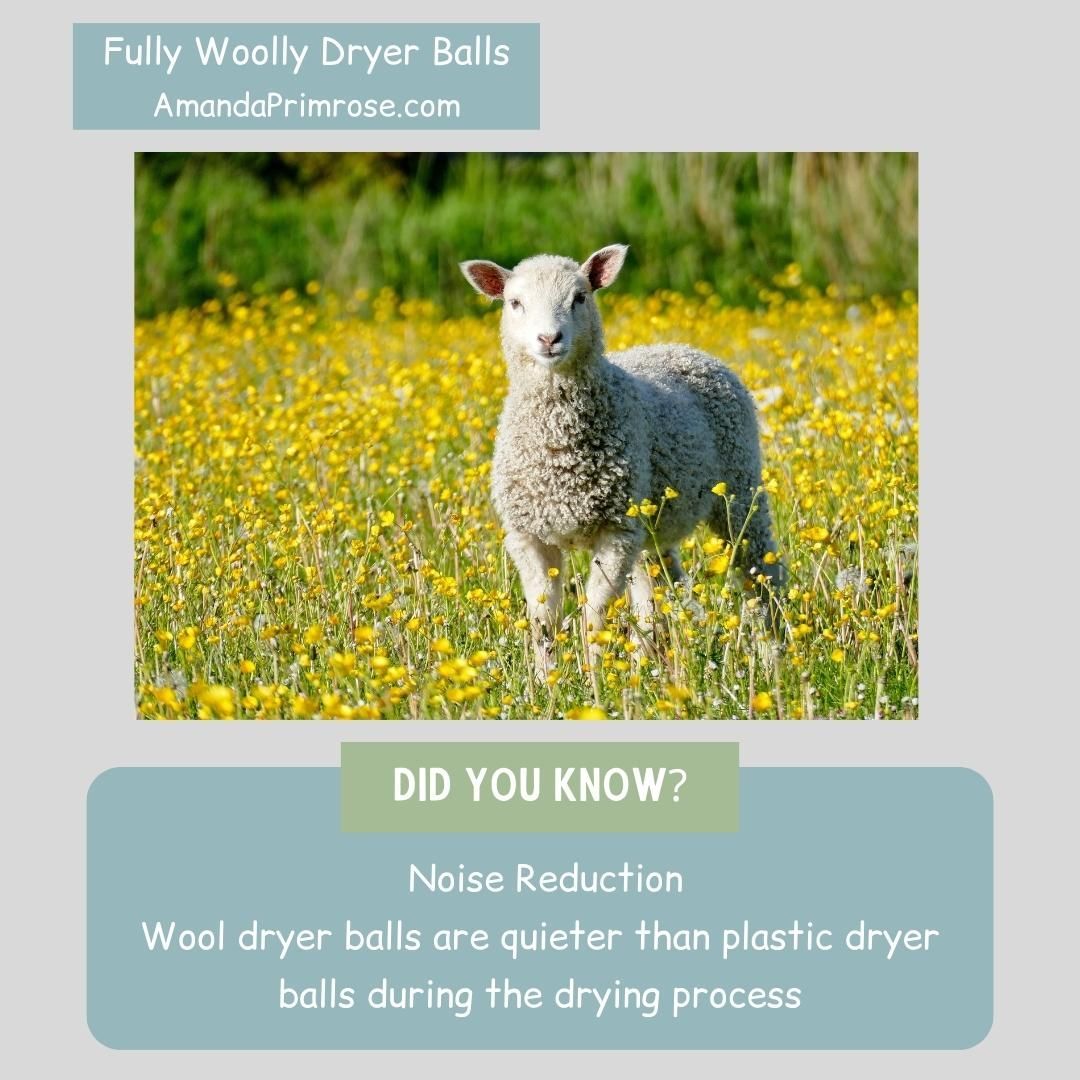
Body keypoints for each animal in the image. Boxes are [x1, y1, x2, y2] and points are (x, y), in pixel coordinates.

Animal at [460, 244, 784, 679]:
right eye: (515, 303)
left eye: (580, 298)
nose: (549, 339)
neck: (559, 448)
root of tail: (685, 348)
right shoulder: (529, 535)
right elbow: (543, 619)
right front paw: (547, 681)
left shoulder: (615, 532)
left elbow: (593, 616)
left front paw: (594, 677)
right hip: (652, 525)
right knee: (660, 590)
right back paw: (656, 667)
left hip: (739, 487)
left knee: (761, 572)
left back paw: (776, 655)